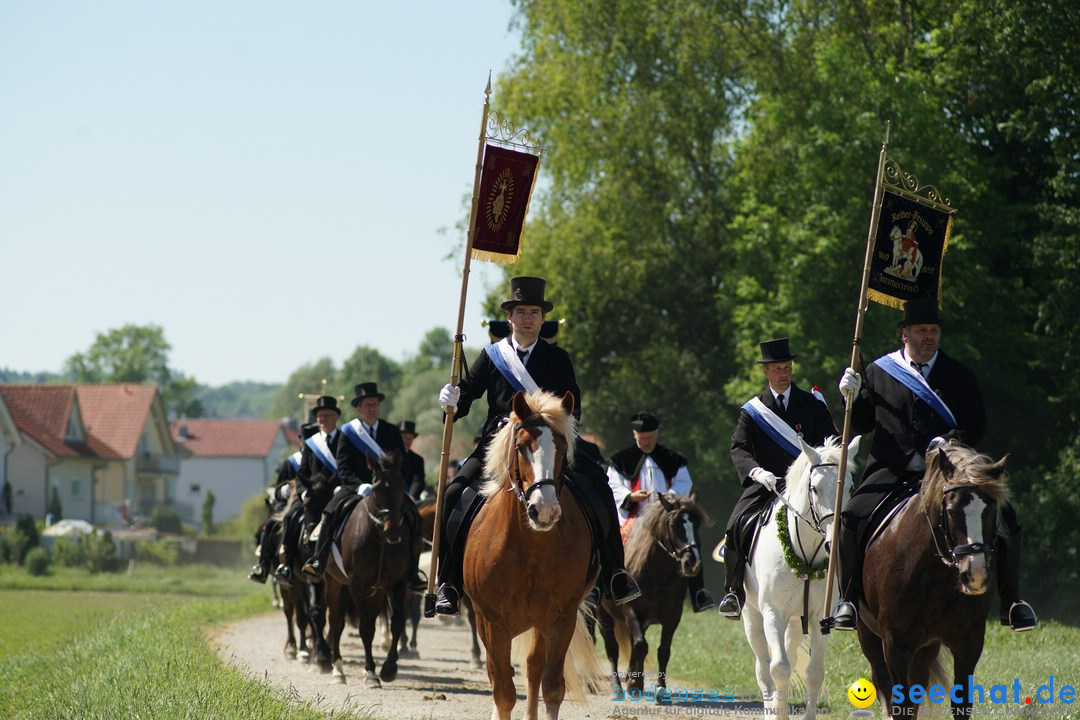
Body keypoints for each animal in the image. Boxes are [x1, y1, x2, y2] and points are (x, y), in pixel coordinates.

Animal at [319, 453, 412, 690]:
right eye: (376, 488)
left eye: (400, 485)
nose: (393, 532)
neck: (379, 538)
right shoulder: (356, 584)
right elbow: (365, 628)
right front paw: (370, 673)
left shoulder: (397, 583)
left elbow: (397, 622)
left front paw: (389, 668)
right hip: (334, 583)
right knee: (336, 622)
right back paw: (338, 670)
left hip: (376, 592)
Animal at [460, 390, 604, 720]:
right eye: (522, 446)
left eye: (562, 447)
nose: (545, 510)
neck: (530, 548)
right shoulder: (493, 622)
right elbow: (503, 692)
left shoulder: (560, 618)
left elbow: (551, 687)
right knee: (496, 675)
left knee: (533, 668)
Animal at [591, 492, 708, 699]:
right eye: (673, 524)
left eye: (696, 524)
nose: (693, 563)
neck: (657, 574)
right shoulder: (631, 611)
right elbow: (640, 646)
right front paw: (635, 683)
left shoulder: (672, 618)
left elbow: (663, 650)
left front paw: (660, 687)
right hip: (603, 614)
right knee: (612, 648)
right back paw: (618, 686)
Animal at [743, 433, 859, 720]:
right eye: (814, 488)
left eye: (849, 488)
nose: (833, 544)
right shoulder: (773, 613)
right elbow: (779, 668)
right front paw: (778, 712)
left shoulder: (819, 618)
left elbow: (814, 673)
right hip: (752, 616)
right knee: (763, 666)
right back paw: (770, 707)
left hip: (796, 621)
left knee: (790, 655)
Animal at [855, 442, 1006, 716]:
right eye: (951, 511)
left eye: (990, 509)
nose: (976, 574)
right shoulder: (895, 645)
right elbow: (900, 703)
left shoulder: (969, 642)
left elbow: (961, 703)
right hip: (869, 635)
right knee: (883, 685)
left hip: (924, 649)